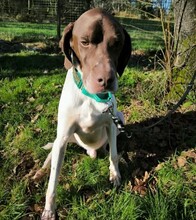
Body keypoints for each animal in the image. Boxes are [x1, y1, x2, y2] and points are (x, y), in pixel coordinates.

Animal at [34, 7, 131, 219]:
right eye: (85, 42)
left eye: (116, 43)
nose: (107, 80)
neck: (91, 97)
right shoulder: (63, 135)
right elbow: (53, 181)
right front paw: (49, 209)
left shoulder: (111, 123)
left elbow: (113, 155)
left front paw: (115, 173)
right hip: (64, 138)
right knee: (51, 153)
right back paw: (41, 170)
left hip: (119, 117)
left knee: (108, 148)